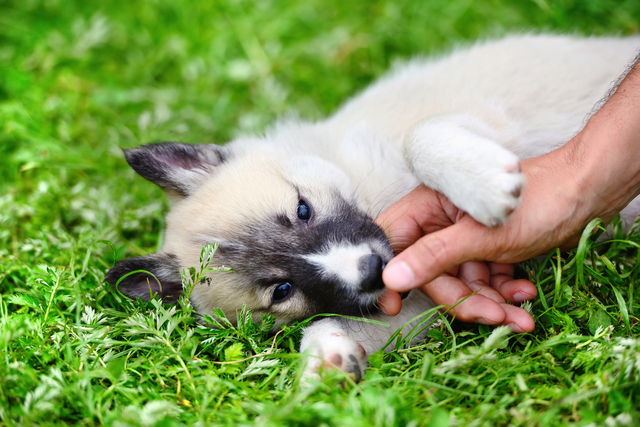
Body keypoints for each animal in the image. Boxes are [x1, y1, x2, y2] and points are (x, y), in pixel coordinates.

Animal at [106, 34, 640, 382]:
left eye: (302, 209)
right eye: (281, 290)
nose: (370, 270)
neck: (364, 183)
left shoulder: (484, 120)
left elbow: (420, 135)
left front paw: (485, 185)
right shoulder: (413, 304)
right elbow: (333, 320)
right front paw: (325, 358)